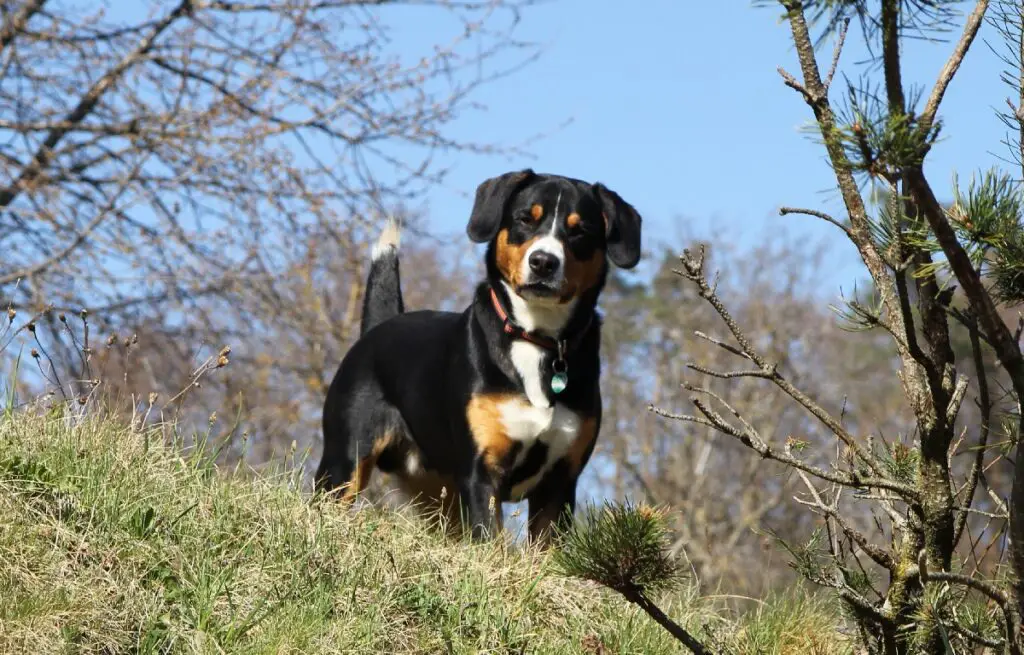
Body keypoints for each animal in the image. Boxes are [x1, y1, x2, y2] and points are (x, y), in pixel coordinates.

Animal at [315, 168, 643, 540]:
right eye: (525, 219)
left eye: (579, 230)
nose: (544, 262)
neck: (536, 339)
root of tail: (380, 326)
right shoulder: (482, 472)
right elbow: (490, 538)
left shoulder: (558, 483)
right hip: (344, 463)